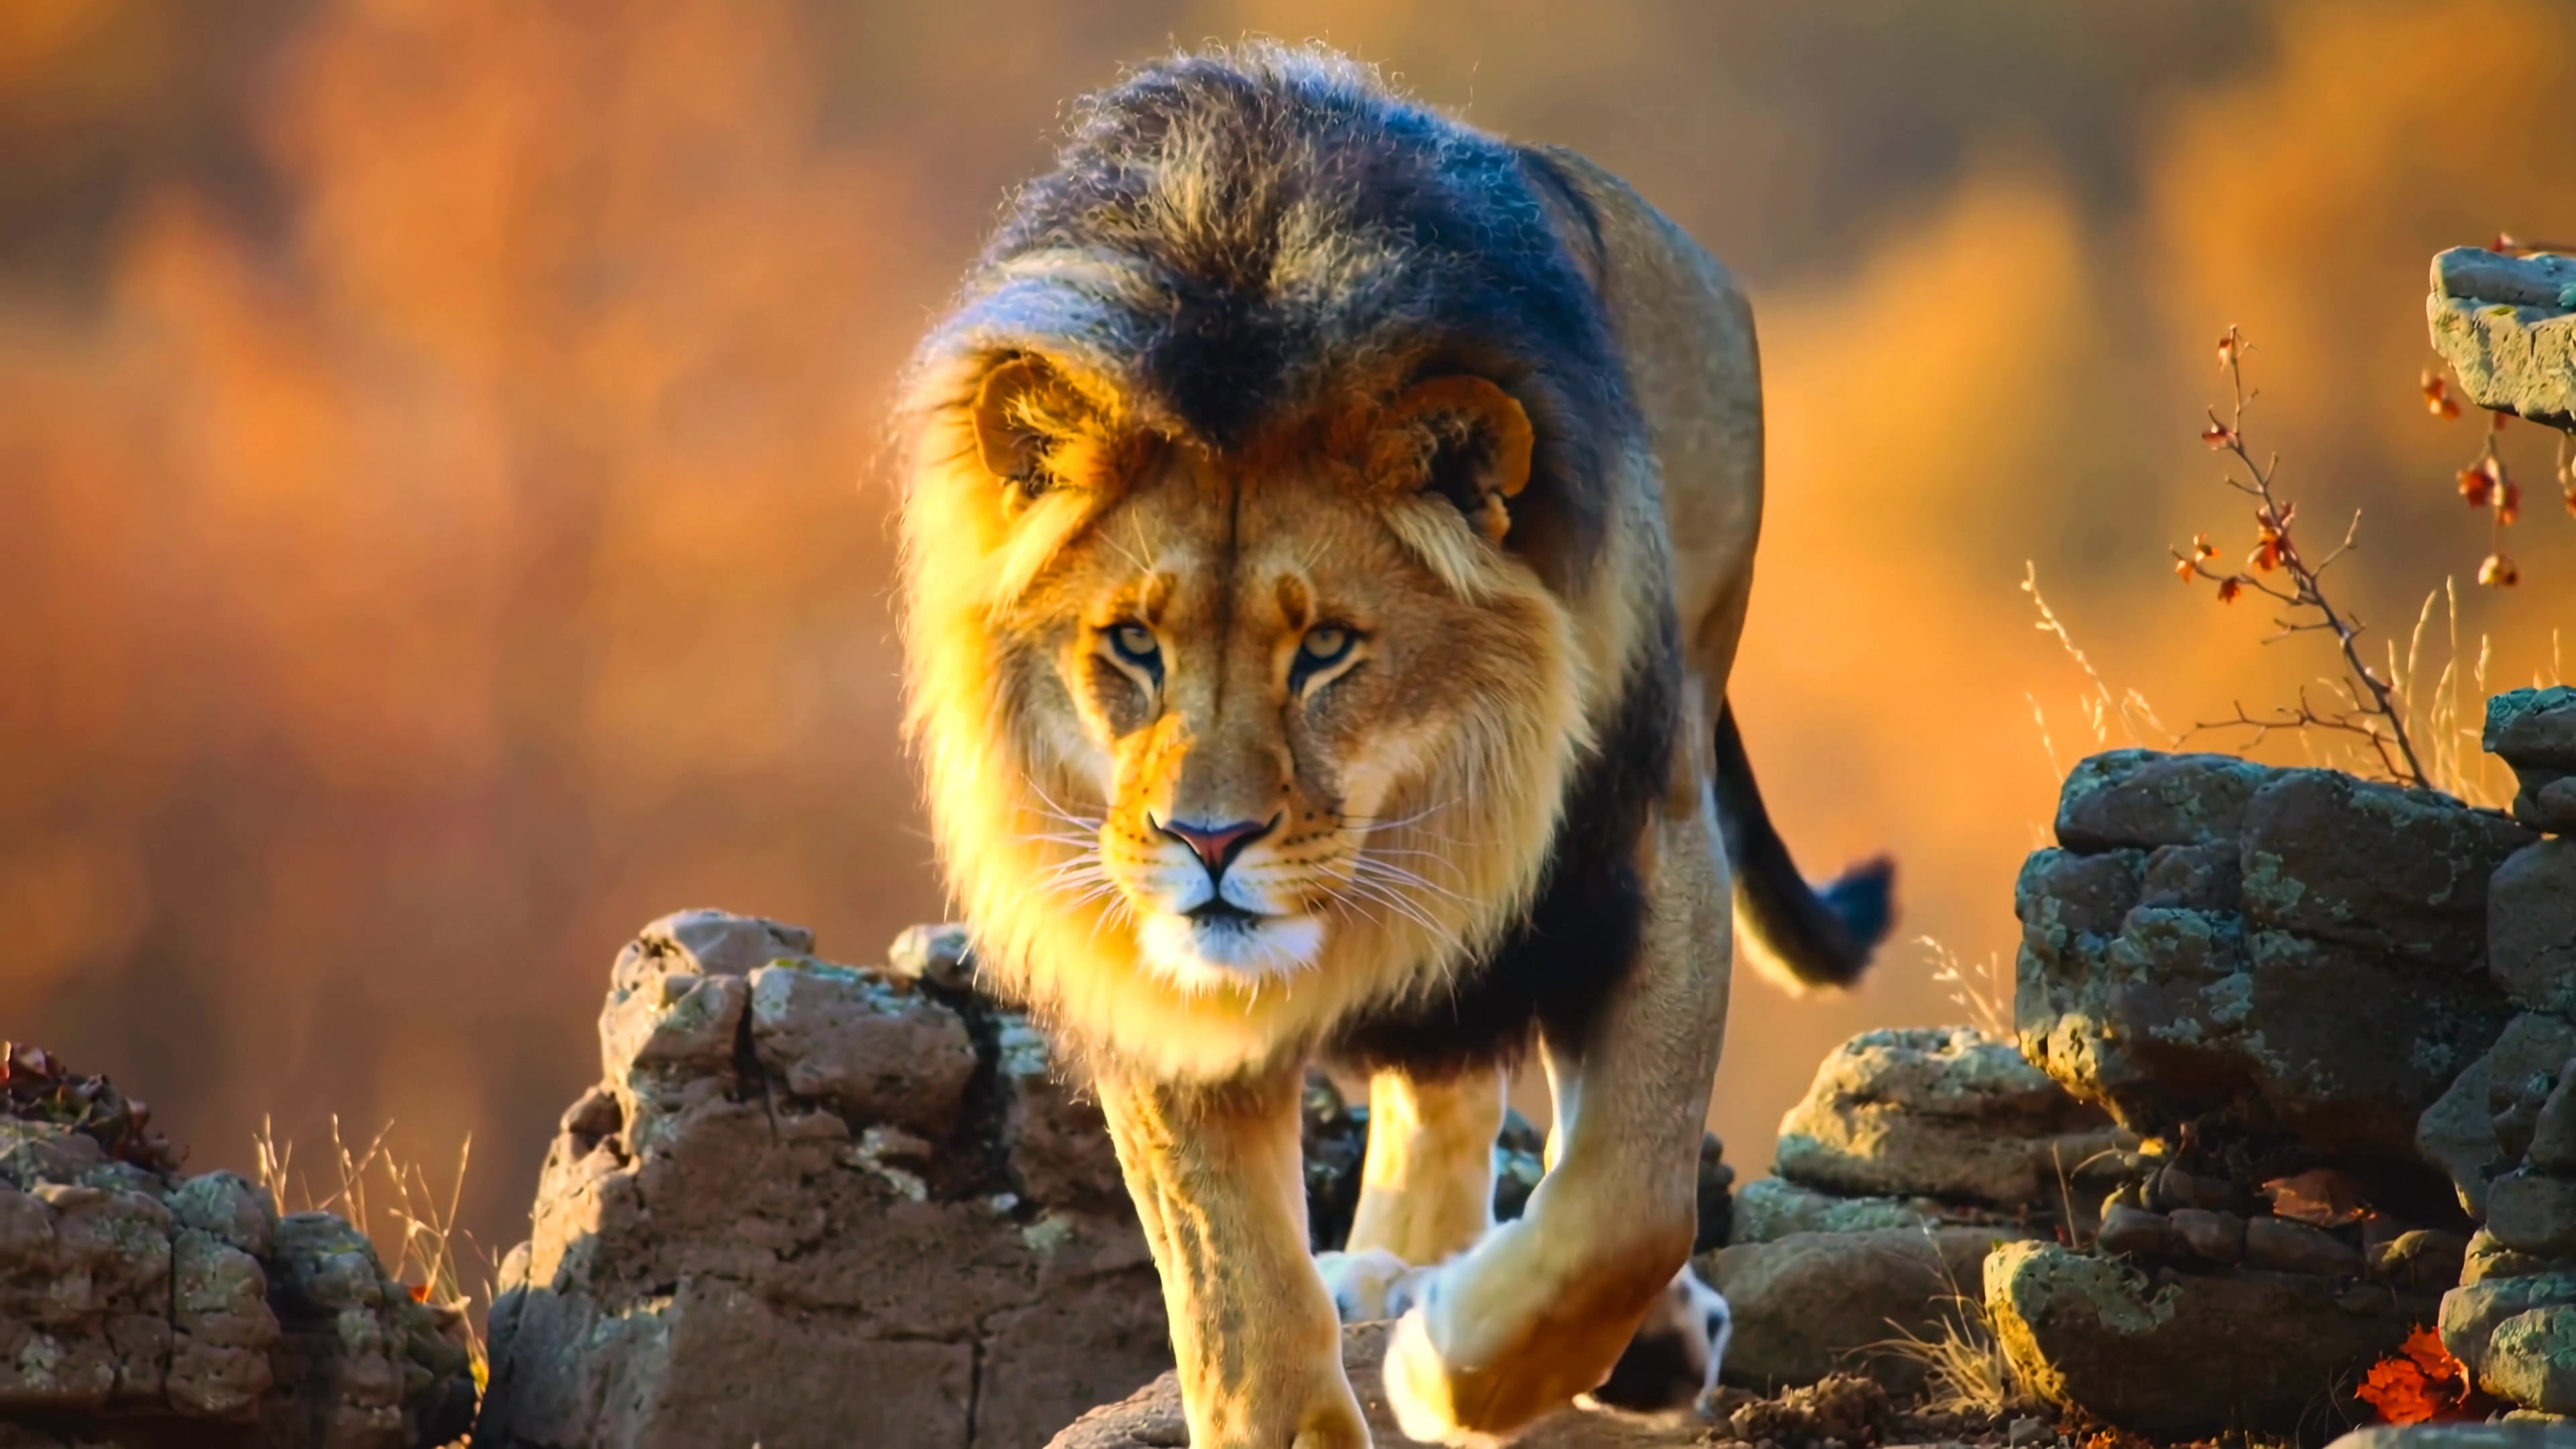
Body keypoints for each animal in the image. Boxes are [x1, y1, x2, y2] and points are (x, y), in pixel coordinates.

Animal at [895, 45, 1893, 1447]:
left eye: (1327, 648)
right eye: (1132, 644)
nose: (1207, 842)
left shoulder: (1647, 846)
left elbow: (1630, 1201)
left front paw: (1453, 1367)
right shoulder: (1142, 965)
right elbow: (1238, 1310)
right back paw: (1394, 1269)